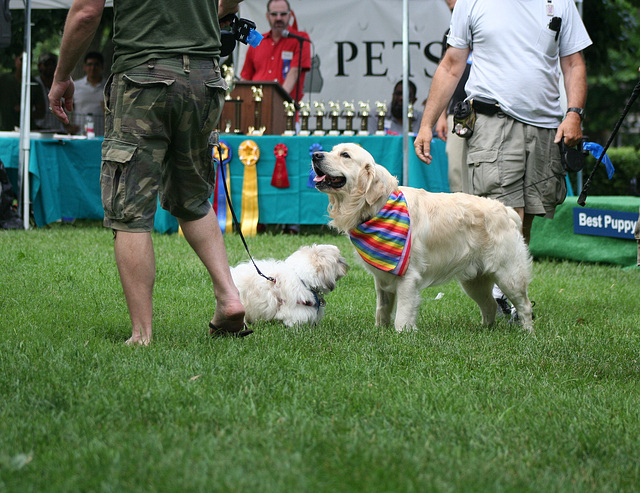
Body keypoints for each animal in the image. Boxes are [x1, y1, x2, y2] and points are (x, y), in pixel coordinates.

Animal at [312, 144, 532, 332]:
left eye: (345, 155)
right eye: (332, 150)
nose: (315, 155)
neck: (379, 207)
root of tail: (506, 210)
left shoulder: (408, 277)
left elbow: (402, 314)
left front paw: (402, 334)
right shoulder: (381, 279)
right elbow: (382, 309)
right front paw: (380, 330)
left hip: (509, 275)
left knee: (525, 306)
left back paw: (527, 333)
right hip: (474, 282)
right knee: (489, 305)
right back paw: (485, 329)